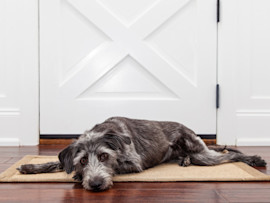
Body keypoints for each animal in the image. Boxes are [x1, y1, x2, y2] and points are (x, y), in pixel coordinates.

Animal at [17, 116, 266, 191]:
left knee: (230, 156)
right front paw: (30, 167)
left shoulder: (134, 164)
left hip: (202, 155)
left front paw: (79, 177)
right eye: (83, 159)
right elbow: (56, 163)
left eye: (104, 156)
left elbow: (119, 166)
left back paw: (253, 159)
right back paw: (183, 160)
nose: (96, 184)